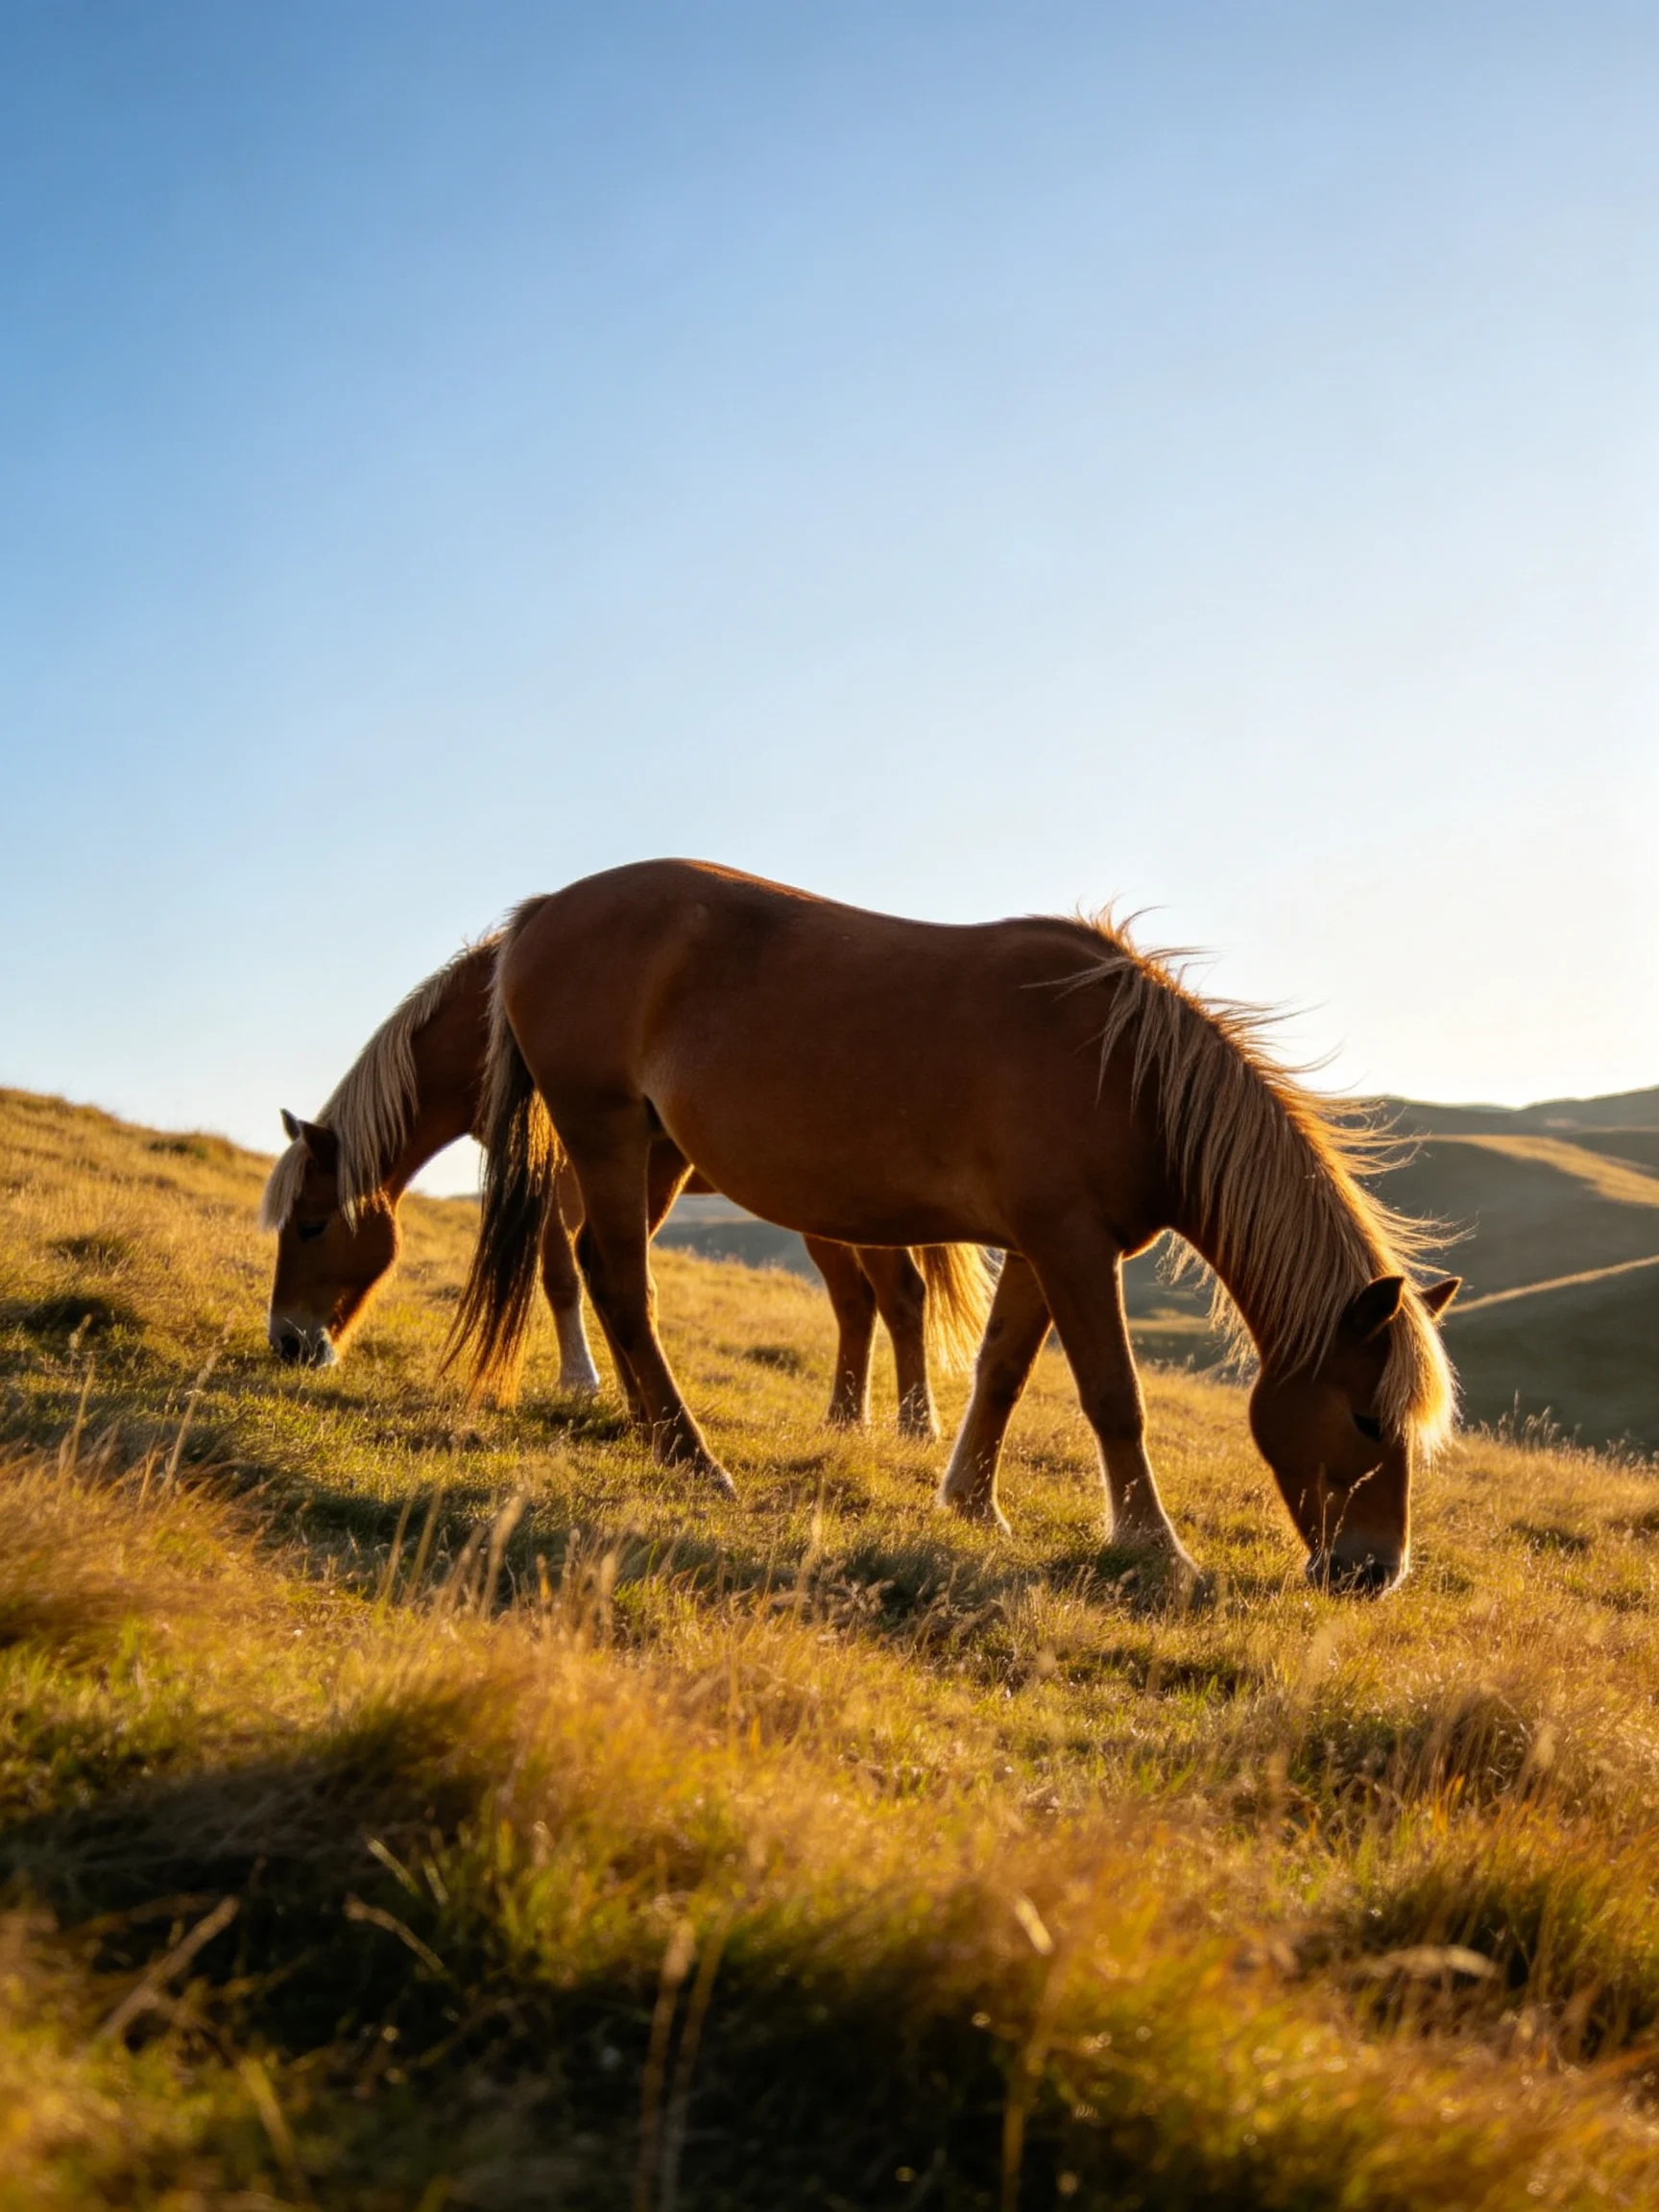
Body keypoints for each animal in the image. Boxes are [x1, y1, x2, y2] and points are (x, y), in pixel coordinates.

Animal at [259, 937, 992, 1437]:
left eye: (313, 1226)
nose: (287, 1344)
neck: (494, 1019)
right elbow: (594, 1271)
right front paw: (618, 1391)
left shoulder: (565, 1174)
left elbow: (566, 1275)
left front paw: (581, 1380)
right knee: (854, 1304)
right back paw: (843, 1419)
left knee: (901, 1296)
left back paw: (916, 1428)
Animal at [450, 860, 1460, 1595]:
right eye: (1367, 1419)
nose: (1375, 1574)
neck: (1129, 1075)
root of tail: (545, 911)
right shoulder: (1072, 1246)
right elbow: (1113, 1395)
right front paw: (1155, 1548)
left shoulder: (1043, 1250)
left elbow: (1002, 1371)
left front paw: (973, 1504)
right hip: (605, 1132)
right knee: (624, 1282)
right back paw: (695, 1460)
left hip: (653, 1152)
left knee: (604, 1271)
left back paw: (653, 1433)